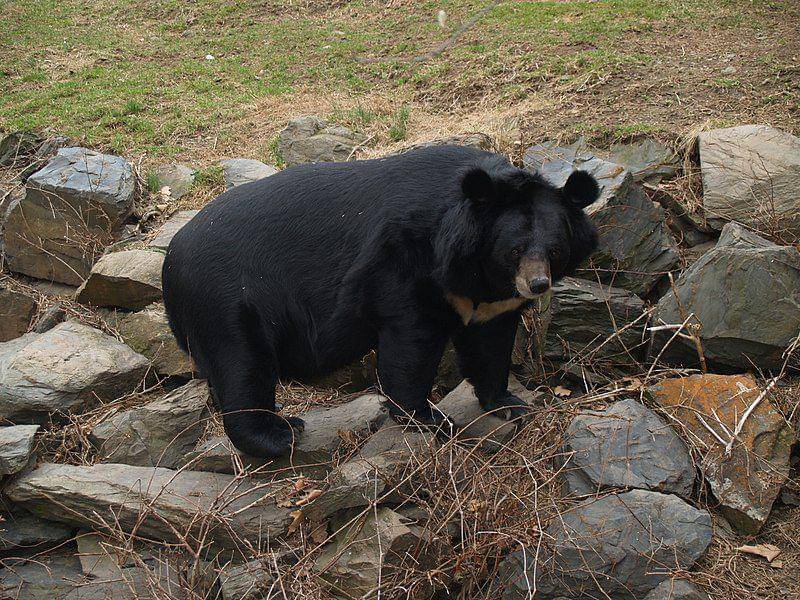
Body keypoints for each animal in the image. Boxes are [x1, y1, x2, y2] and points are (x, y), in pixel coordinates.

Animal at [162, 145, 599, 457]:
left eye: (555, 249)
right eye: (515, 250)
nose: (537, 284)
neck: (475, 269)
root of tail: (171, 255)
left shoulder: (491, 302)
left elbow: (489, 346)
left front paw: (510, 403)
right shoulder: (404, 261)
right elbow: (411, 345)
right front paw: (429, 418)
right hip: (228, 300)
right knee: (243, 365)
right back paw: (279, 434)